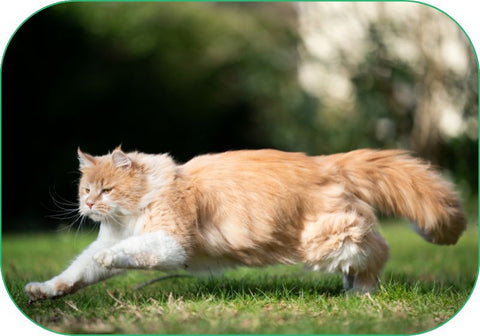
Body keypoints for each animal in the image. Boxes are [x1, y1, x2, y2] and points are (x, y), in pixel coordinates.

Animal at [24, 146, 466, 300]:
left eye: (107, 190)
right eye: (86, 189)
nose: (87, 204)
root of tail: (325, 161)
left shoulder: (171, 243)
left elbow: (125, 253)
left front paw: (113, 259)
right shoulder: (105, 243)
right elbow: (78, 271)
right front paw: (46, 291)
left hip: (327, 239)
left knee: (377, 249)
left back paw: (363, 292)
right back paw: (351, 286)